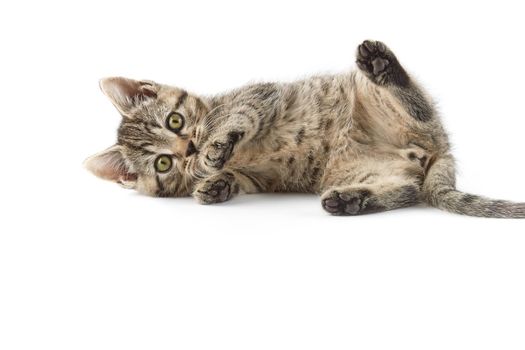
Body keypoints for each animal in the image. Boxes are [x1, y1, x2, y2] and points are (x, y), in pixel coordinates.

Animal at [86, 39, 524, 217]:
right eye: (163, 163)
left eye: (174, 121)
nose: (189, 149)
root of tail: (438, 148)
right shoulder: (259, 177)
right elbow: (236, 178)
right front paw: (215, 185)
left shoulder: (261, 94)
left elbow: (238, 117)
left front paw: (215, 146)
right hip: (361, 171)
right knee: (407, 190)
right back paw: (351, 200)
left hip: (387, 104)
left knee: (414, 104)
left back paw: (382, 65)